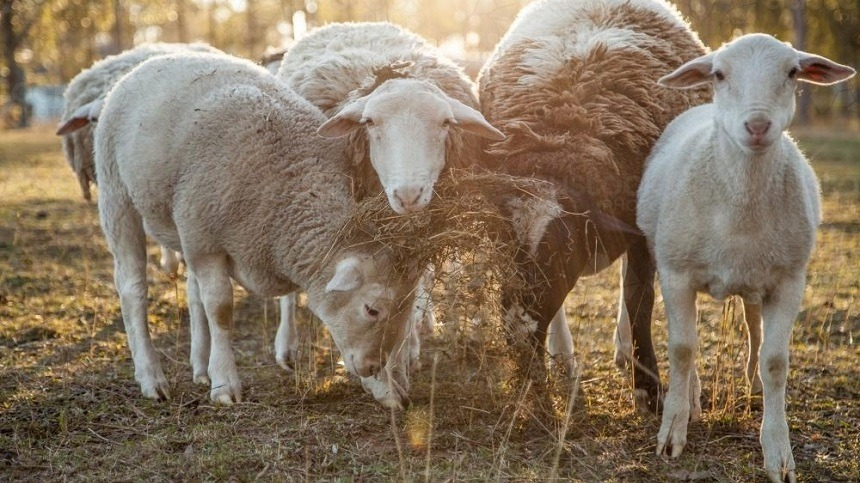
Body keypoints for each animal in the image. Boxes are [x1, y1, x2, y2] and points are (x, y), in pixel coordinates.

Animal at [95, 52, 422, 408]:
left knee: (191, 291)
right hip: (116, 191)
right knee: (132, 288)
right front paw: (225, 383)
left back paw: (199, 366)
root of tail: (157, 58)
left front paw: (386, 388)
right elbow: (220, 308)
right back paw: (152, 378)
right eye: (372, 309)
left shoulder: (202, 238)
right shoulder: (205, 243)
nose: (372, 365)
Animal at [478, 0, 712, 410]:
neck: (563, 136)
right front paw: (537, 383)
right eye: (500, 246)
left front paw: (648, 387)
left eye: (562, 249)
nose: (516, 325)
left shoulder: (642, 230)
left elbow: (639, 300)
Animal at [640, 32, 852, 482]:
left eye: (792, 72)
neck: (740, 208)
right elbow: (682, 348)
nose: (756, 125)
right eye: (719, 74)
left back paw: (751, 382)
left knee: (754, 324)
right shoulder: (676, 273)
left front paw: (778, 452)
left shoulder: (789, 280)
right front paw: (672, 433)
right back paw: (693, 398)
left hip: (760, 275)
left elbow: (775, 362)